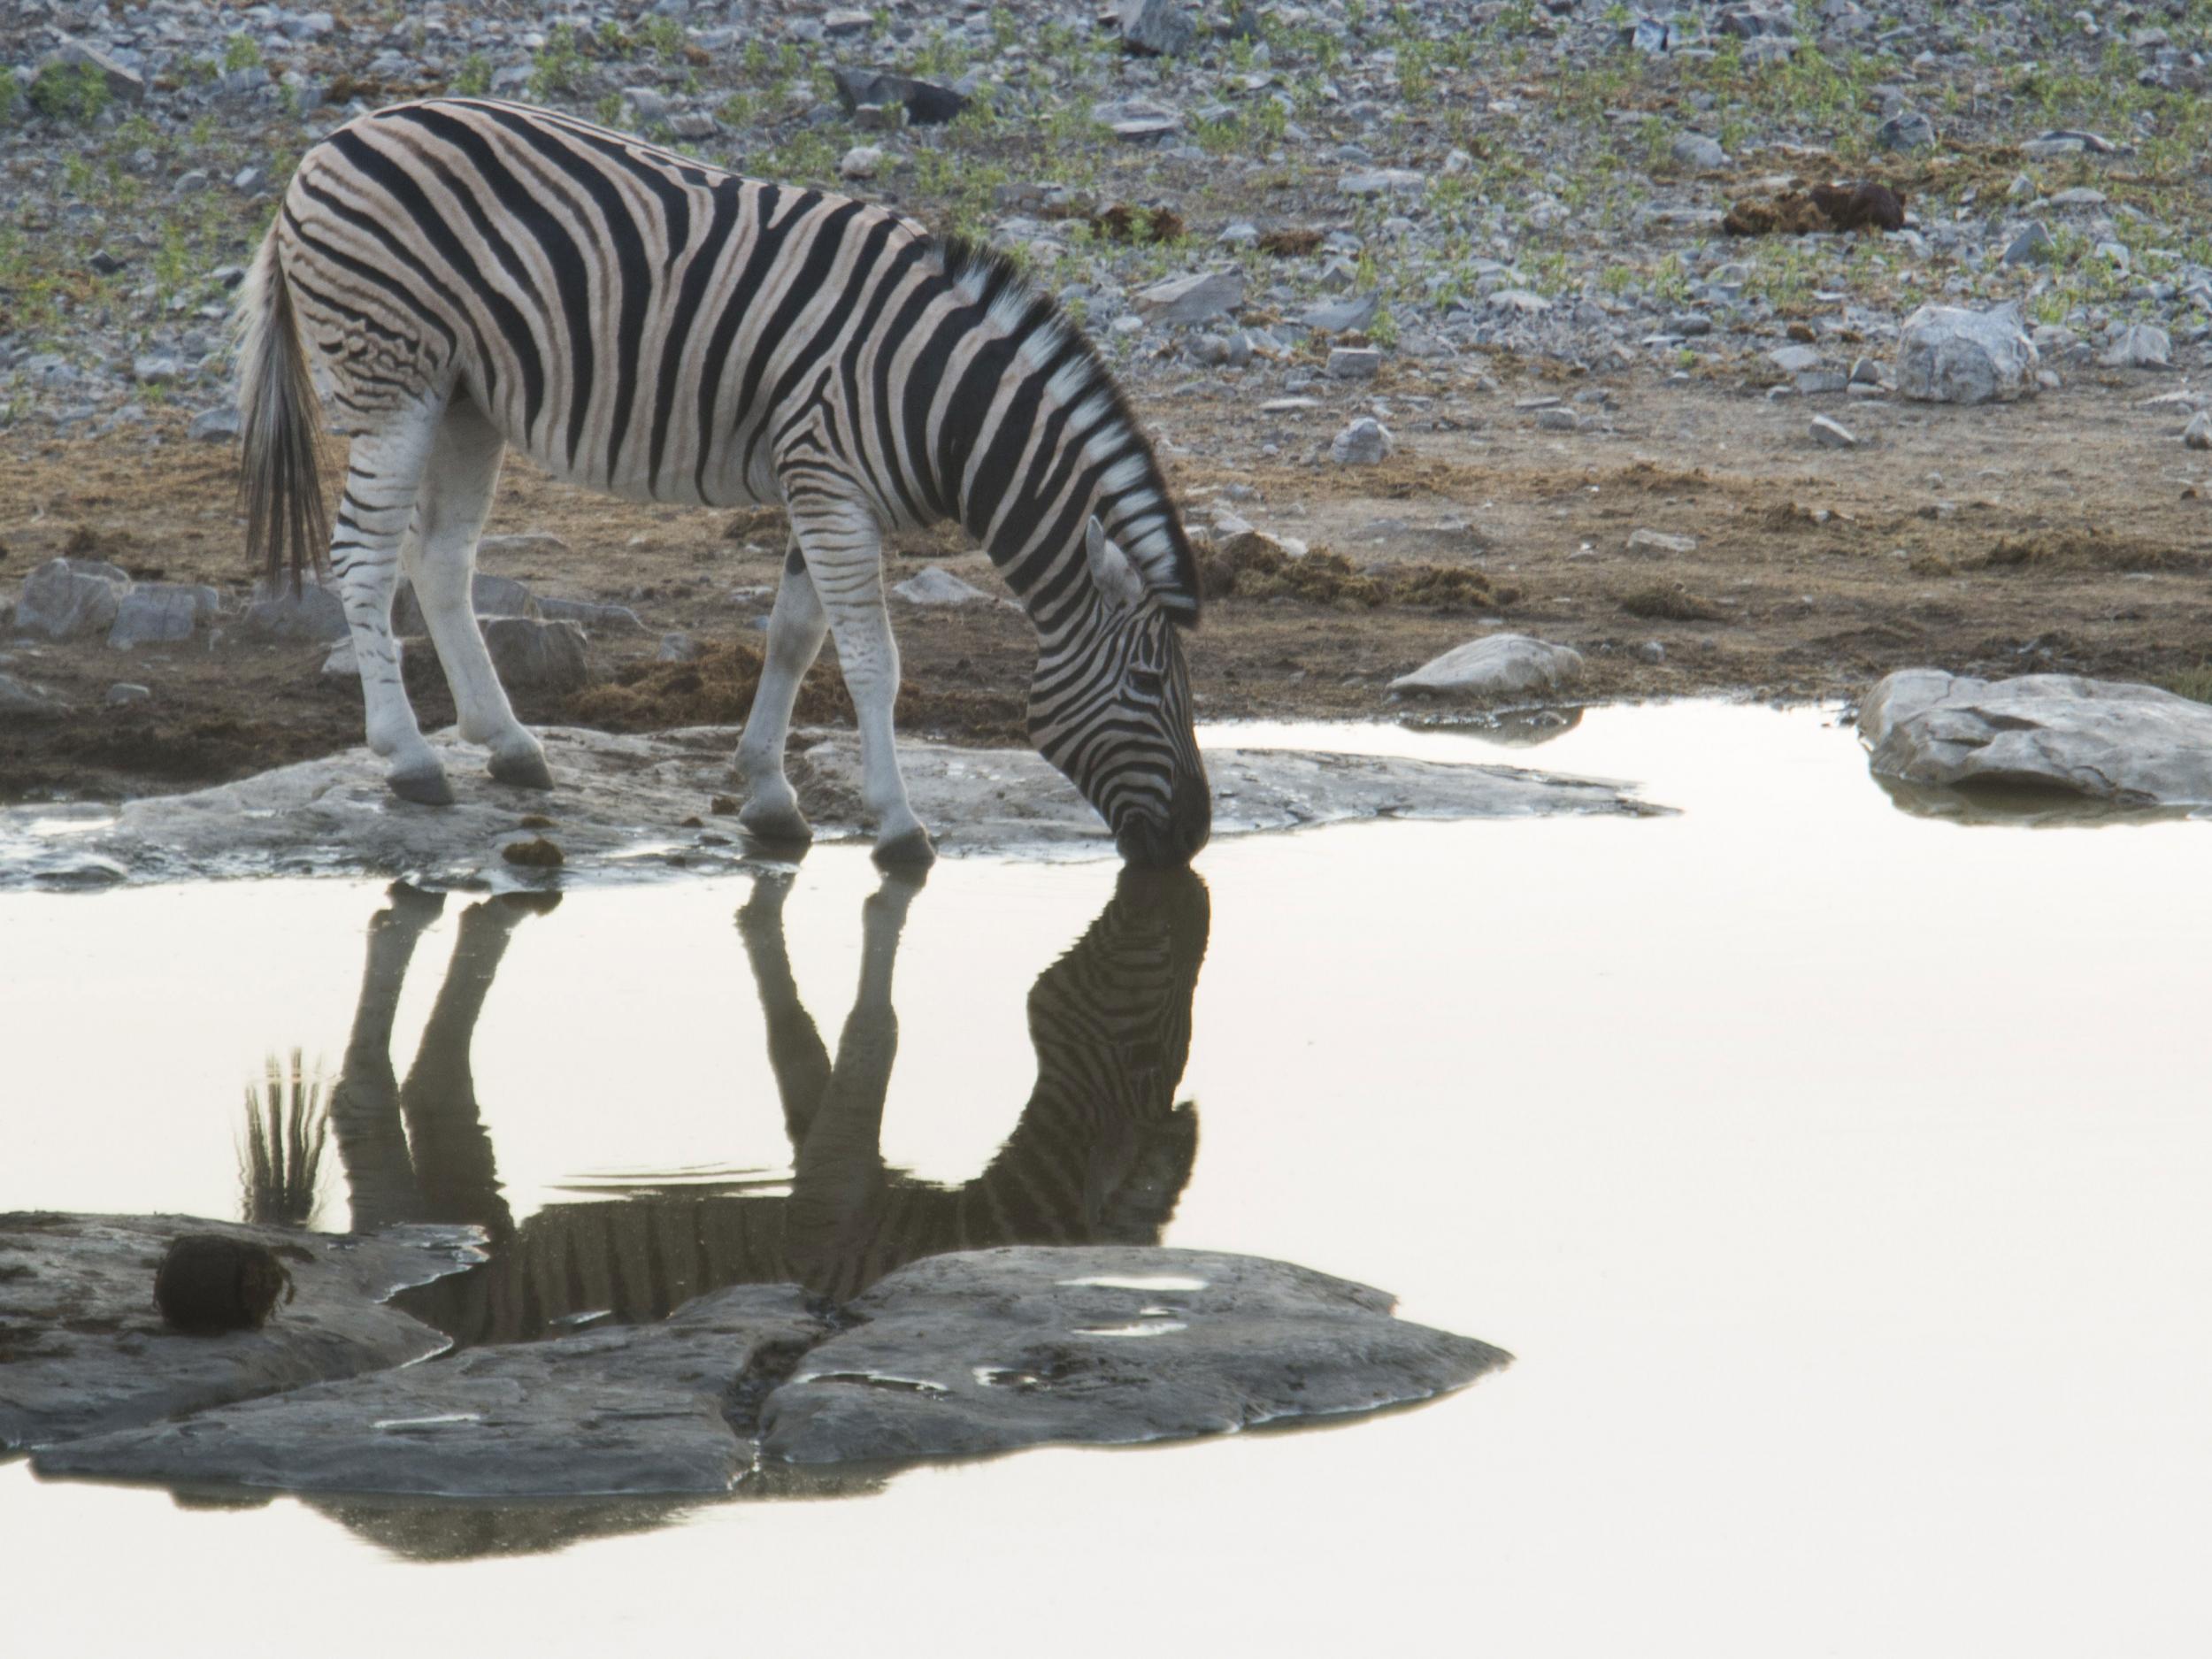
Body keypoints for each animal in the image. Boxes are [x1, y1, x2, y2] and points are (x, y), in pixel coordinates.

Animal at [237, 98, 1212, 872]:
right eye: (1146, 685)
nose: (1196, 838)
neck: (937, 398)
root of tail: (330, 143)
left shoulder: (822, 487)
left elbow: (793, 638)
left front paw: (768, 796)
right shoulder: (828, 485)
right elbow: (872, 660)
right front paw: (898, 825)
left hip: (466, 396)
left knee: (439, 558)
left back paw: (509, 745)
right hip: (392, 378)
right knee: (363, 557)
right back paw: (410, 758)